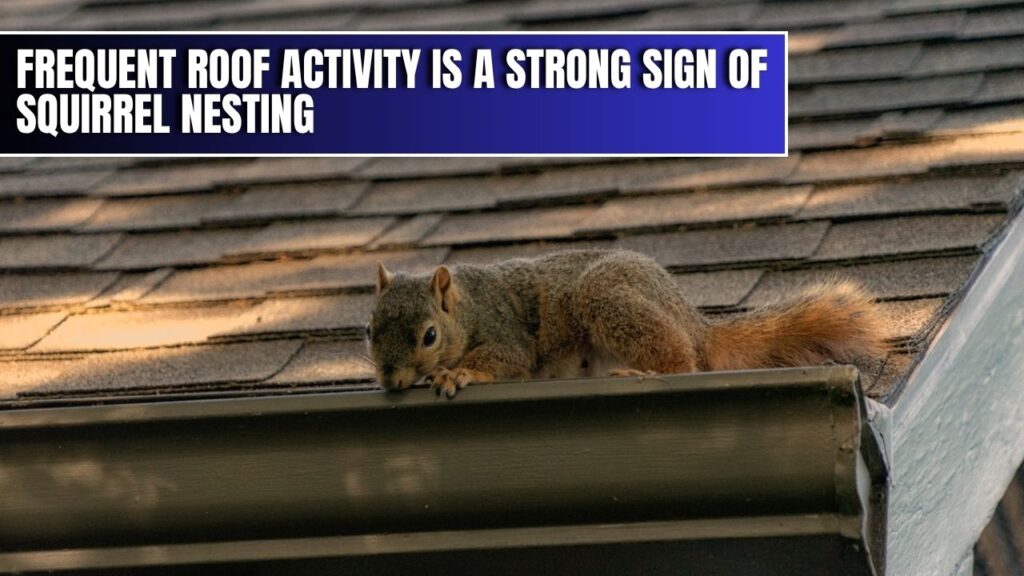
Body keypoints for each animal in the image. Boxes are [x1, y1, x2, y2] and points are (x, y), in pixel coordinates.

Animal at [366, 249, 885, 398]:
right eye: (369, 329)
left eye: (429, 336)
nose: (390, 381)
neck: (467, 307)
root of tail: (694, 322)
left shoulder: (504, 332)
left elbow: (505, 359)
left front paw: (455, 372)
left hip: (608, 298)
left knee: (682, 364)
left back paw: (645, 372)